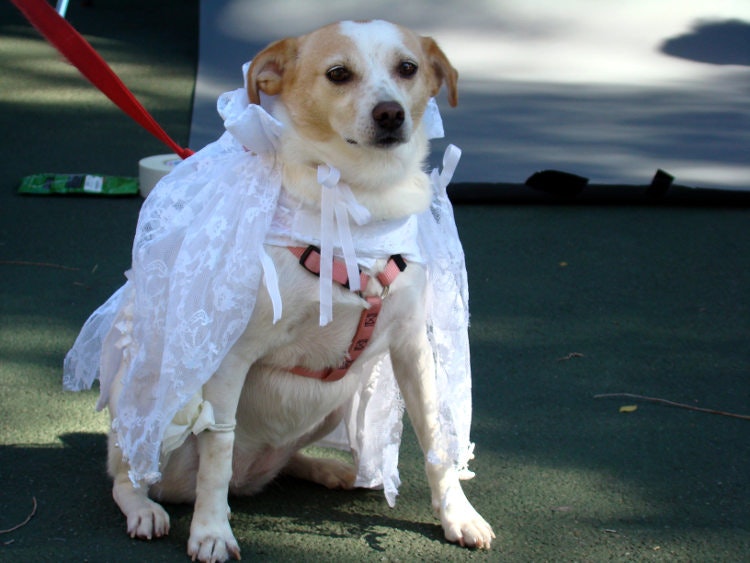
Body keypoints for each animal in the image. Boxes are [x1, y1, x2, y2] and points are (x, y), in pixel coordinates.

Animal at [101, 19, 500, 560]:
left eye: (407, 68)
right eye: (338, 73)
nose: (390, 113)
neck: (359, 208)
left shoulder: (412, 346)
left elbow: (436, 438)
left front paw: (458, 515)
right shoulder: (230, 357)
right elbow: (217, 449)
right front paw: (211, 531)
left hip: (333, 408)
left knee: (279, 464)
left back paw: (327, 468)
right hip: (148, 403)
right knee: (129, 476)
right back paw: (145, 509)